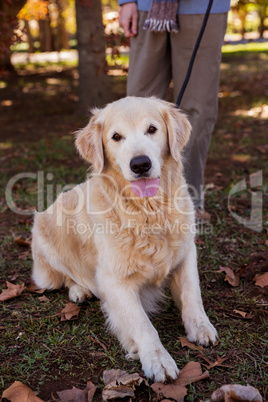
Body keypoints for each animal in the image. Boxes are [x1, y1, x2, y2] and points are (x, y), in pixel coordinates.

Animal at [31, 96, 218, 382]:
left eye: (152, 129)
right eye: (116, 136)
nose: (140, 164)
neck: (148, 213)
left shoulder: (186, 253)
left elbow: (191, 294)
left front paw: (200, 326)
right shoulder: (114, 280)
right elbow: (142, 324)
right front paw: (156, 358)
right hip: (44, 242)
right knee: (64, 277)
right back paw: (79, 289)